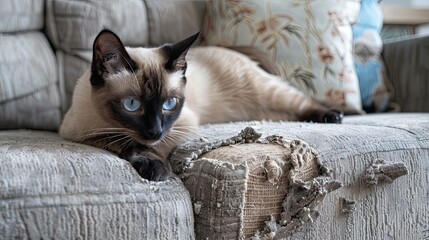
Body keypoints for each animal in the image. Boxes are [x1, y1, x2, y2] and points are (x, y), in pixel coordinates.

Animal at [59, 29, 342, 181]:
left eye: (169, 103)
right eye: (131, 104)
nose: (154, 130)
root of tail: (230, 48)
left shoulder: (181, 125)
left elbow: (155, 146)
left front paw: (156, 168)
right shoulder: (81, 134)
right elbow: (121, 142)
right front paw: (150, 165)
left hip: (267, 94)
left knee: (303, 101)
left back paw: (334, 115)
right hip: (264, 109)